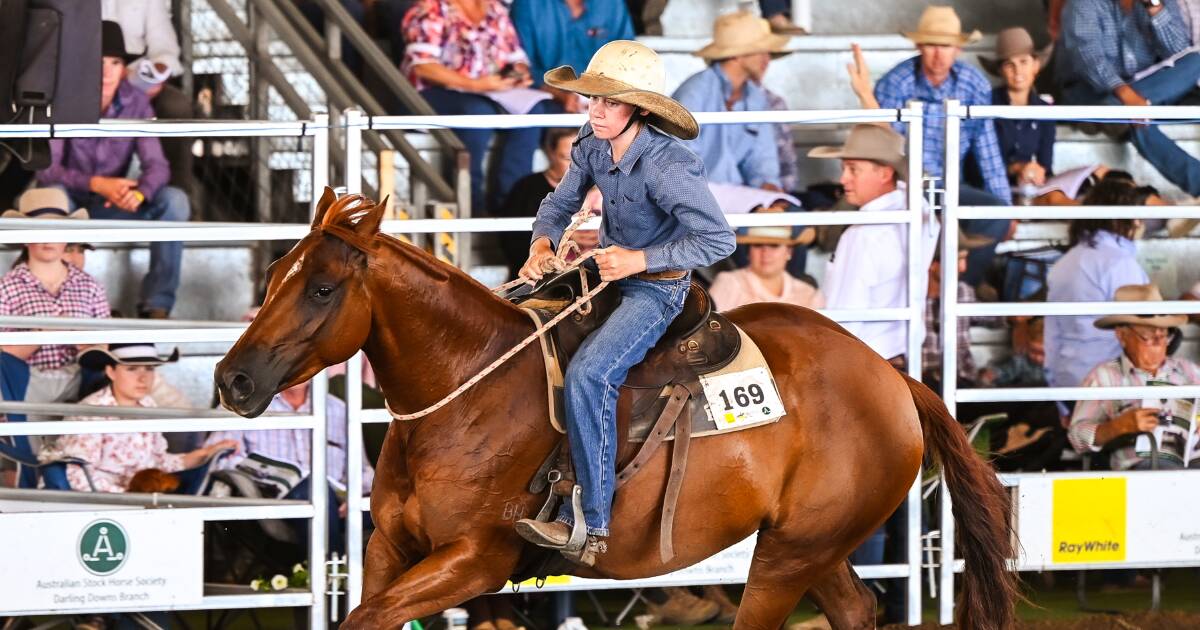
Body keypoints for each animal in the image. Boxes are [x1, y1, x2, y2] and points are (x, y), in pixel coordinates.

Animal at [216, 190, 1012, 628]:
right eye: (278, 271)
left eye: (322, 288)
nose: (233, 381)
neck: (468, 392)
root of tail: (892, 379)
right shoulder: (391, 549)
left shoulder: (474, 560)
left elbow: (370, 616)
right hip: (814, 545)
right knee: (852, 609)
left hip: (789, 557)